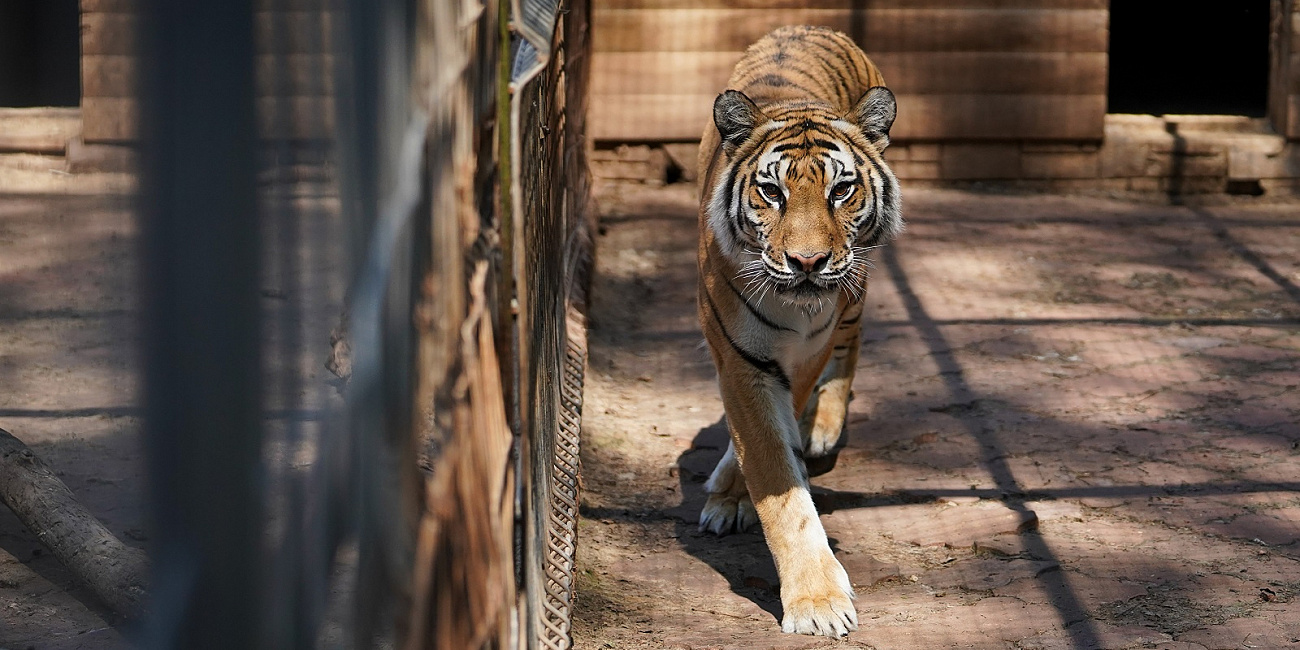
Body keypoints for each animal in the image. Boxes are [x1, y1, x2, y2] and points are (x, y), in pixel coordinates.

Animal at [696, 24, 899, 634]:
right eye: (772, 192)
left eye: (841, 190)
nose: (808, 262)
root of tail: (810, 27)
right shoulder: (741, 362)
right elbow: (778, 484)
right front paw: (819, 602)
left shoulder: (806, 353)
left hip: (857, 283)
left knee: (851, 343)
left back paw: (823, 428)